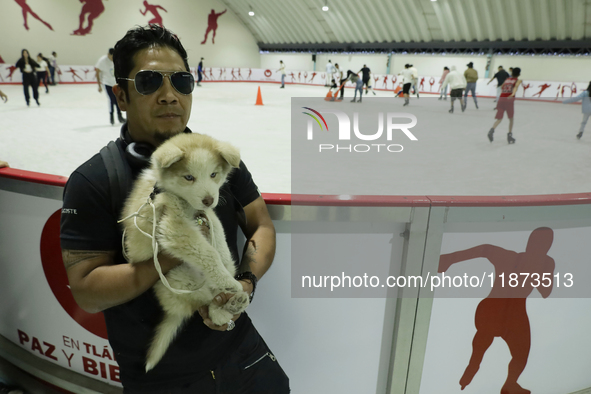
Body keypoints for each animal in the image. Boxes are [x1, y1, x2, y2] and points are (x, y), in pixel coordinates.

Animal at [120, 133, 250, 372]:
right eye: (189, 177)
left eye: (213, 174)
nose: (209, 199)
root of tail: (174, 310)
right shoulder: (174, 228)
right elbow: (208, 252)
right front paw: (228, 279)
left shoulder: (206, 215)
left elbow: (219, 238)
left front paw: (227, 268)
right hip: (180, 282)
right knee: (205, 302)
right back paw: (227, 300)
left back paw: (233, 302)